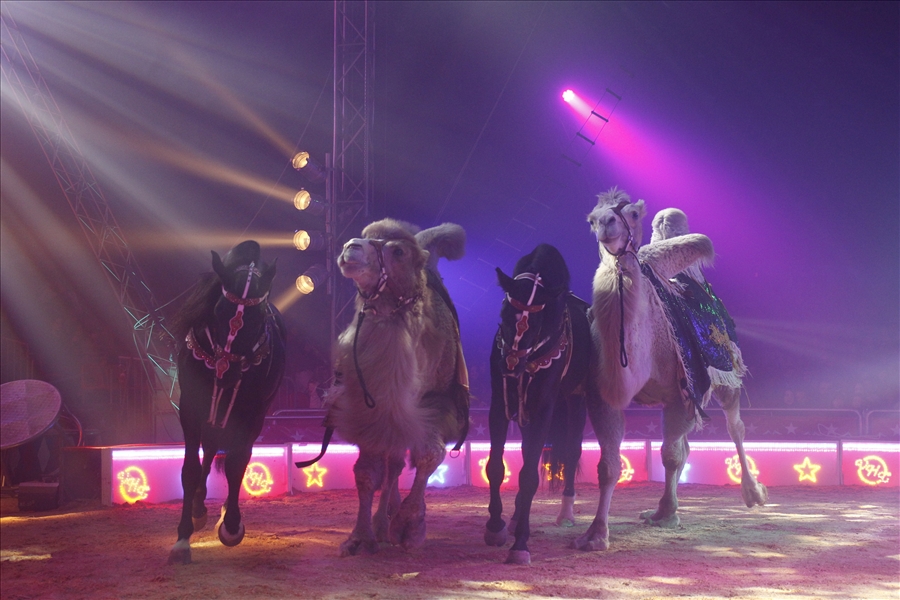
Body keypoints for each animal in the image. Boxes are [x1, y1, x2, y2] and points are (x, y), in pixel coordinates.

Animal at [167, 240, 286, 565]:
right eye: (220, 310)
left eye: (260, 314)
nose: (227, 372)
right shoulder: (190, 409)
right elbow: (190, 469)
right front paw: (183, 538)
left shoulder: (253, 413)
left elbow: (236, 465)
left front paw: (231, 525)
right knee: (208, 452)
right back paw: (198, 509)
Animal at [484, 244, 592, 565]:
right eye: (505, 312)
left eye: (537, 323)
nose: (510, 366)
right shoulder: (500, 403)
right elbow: (497, 467)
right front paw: (496, 526)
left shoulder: (544, 407)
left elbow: (530, 475)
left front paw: (520, 544)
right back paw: (516, 517)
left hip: (576, 401)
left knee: (572, 452)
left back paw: (565, 514)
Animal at [573, 188, 766, 552]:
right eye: (590, 219)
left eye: (633, 214)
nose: (606, 224)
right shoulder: (602, 395)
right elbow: (609, 465)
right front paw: (595, 534)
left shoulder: (683, 391)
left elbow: (671, 455)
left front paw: (667, 515)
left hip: (725, 375)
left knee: (735, 427)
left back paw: (754, 493)